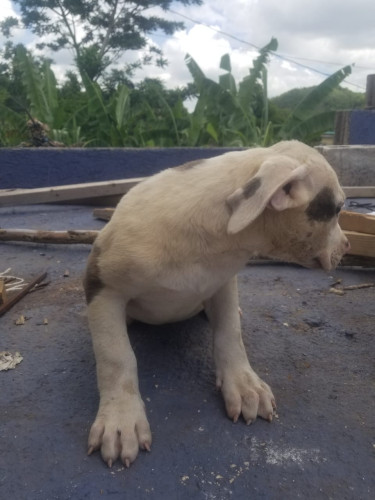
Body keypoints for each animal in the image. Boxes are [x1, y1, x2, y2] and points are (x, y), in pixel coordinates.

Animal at [83, 141, 352, 468]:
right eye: (336, 209)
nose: (349, 244)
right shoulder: (103, 289)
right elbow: (116, 356)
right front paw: (121, 419)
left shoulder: (223, 283)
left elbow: (229, 333)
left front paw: (244, 384)